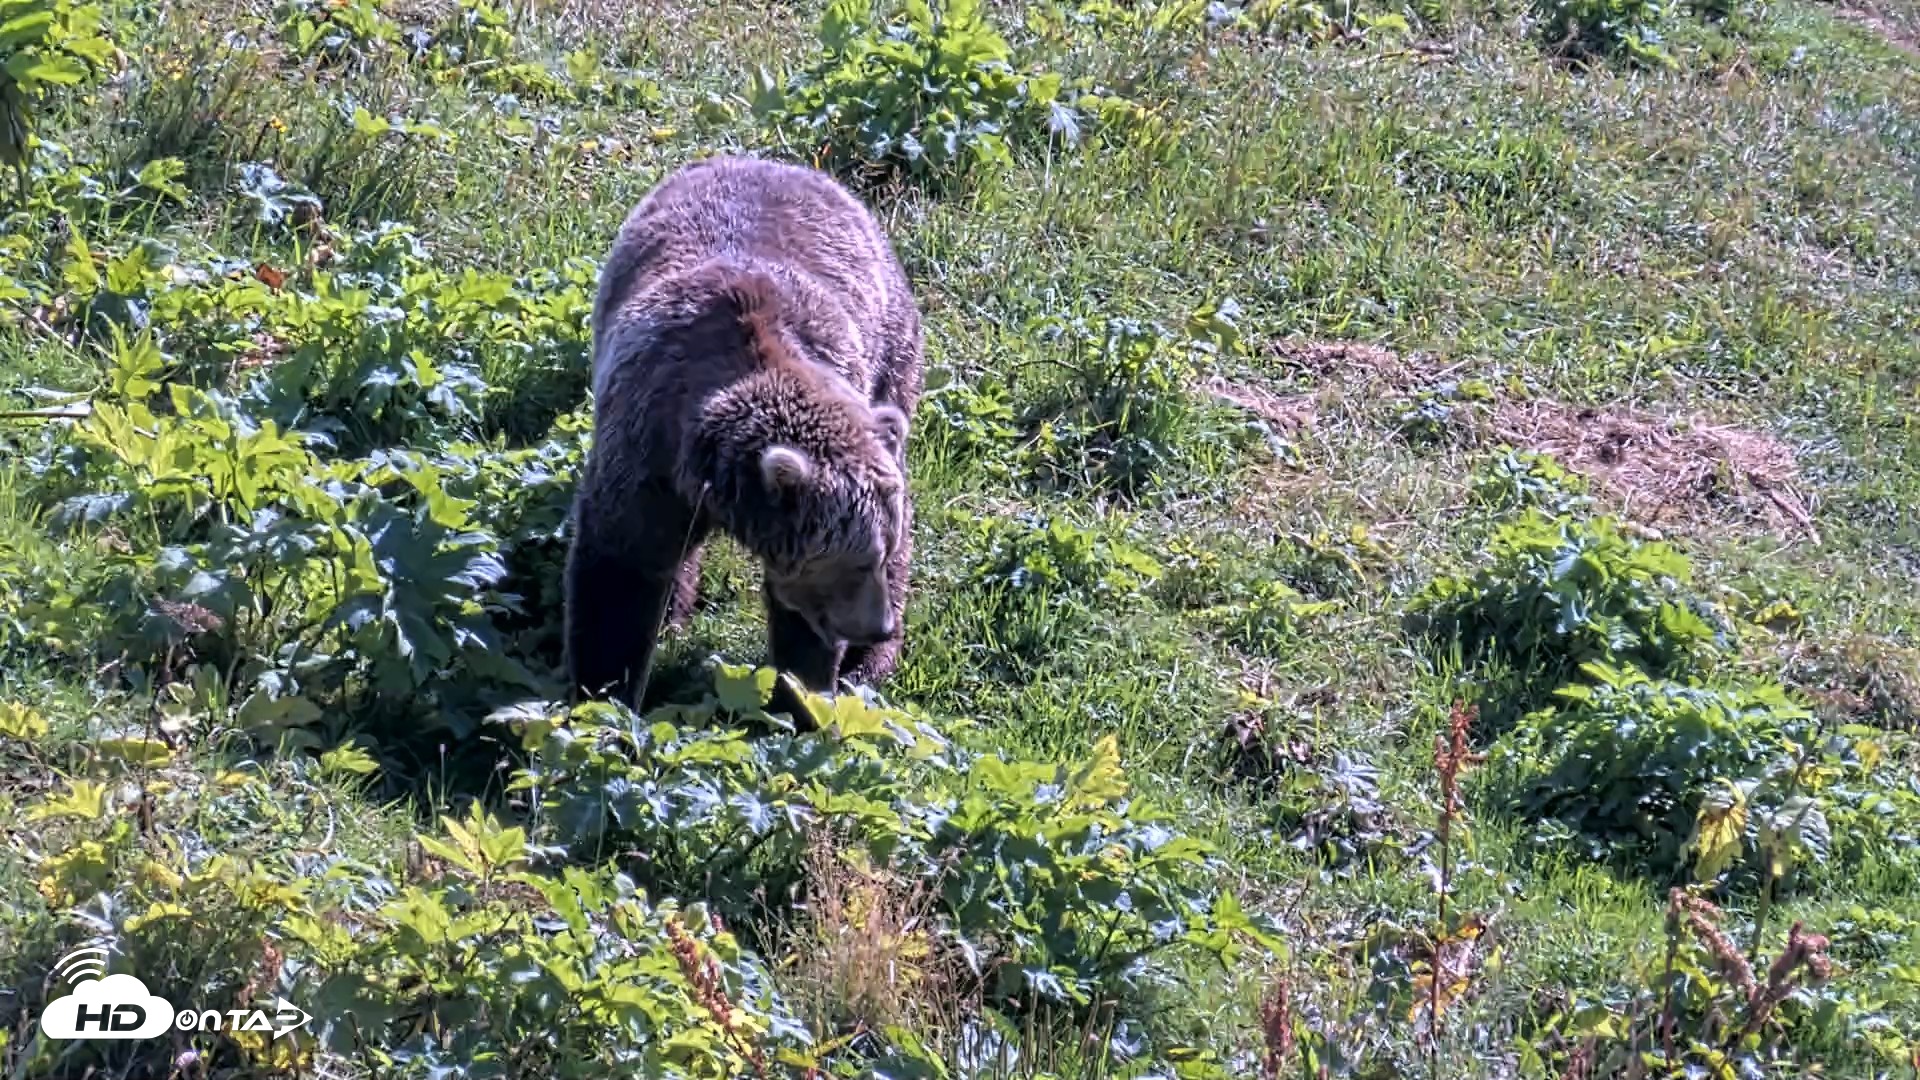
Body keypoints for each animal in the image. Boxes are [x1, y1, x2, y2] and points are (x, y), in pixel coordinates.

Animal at [563, 154, 924, 720]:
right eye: (861, 559)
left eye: (878, 555)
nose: (876, 625)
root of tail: (773, 161)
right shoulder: (646, 453)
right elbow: (621, 570)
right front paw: (603, 696)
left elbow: (798, 619)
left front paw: (804, 696)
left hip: (892, 353)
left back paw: (867, 664)